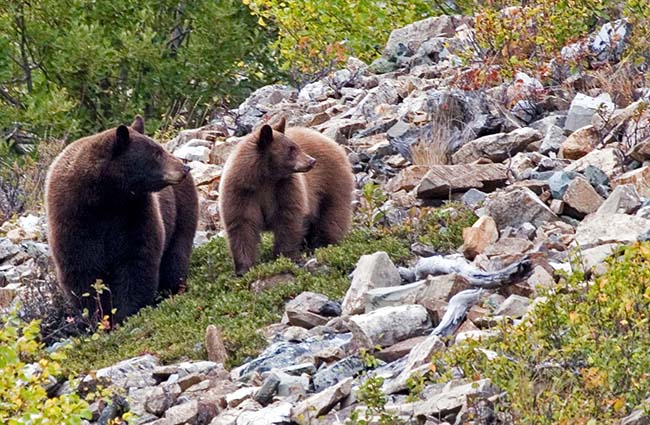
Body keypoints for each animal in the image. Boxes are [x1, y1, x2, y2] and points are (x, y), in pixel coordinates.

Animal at [45, 115, 197, 322]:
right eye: (156, 153)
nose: (185, 167)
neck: (106, 199)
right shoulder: (73, 219)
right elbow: (82, 272)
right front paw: (99, 317)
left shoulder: (134, 212)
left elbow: (137, 260)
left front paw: (126, 313)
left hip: (181, 213)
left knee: (176, 255)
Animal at [218, 117, 352, 274]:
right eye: (291, 149)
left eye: (296, 146)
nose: (312, 161)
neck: (265, 179)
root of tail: (330, 141)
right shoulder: (241, 193)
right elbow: (242, 226)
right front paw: (244, 268)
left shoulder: (284, 188)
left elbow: (288, 219)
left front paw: (283, 257)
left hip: (332, 183)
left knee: (332, 215)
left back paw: (323, 244)